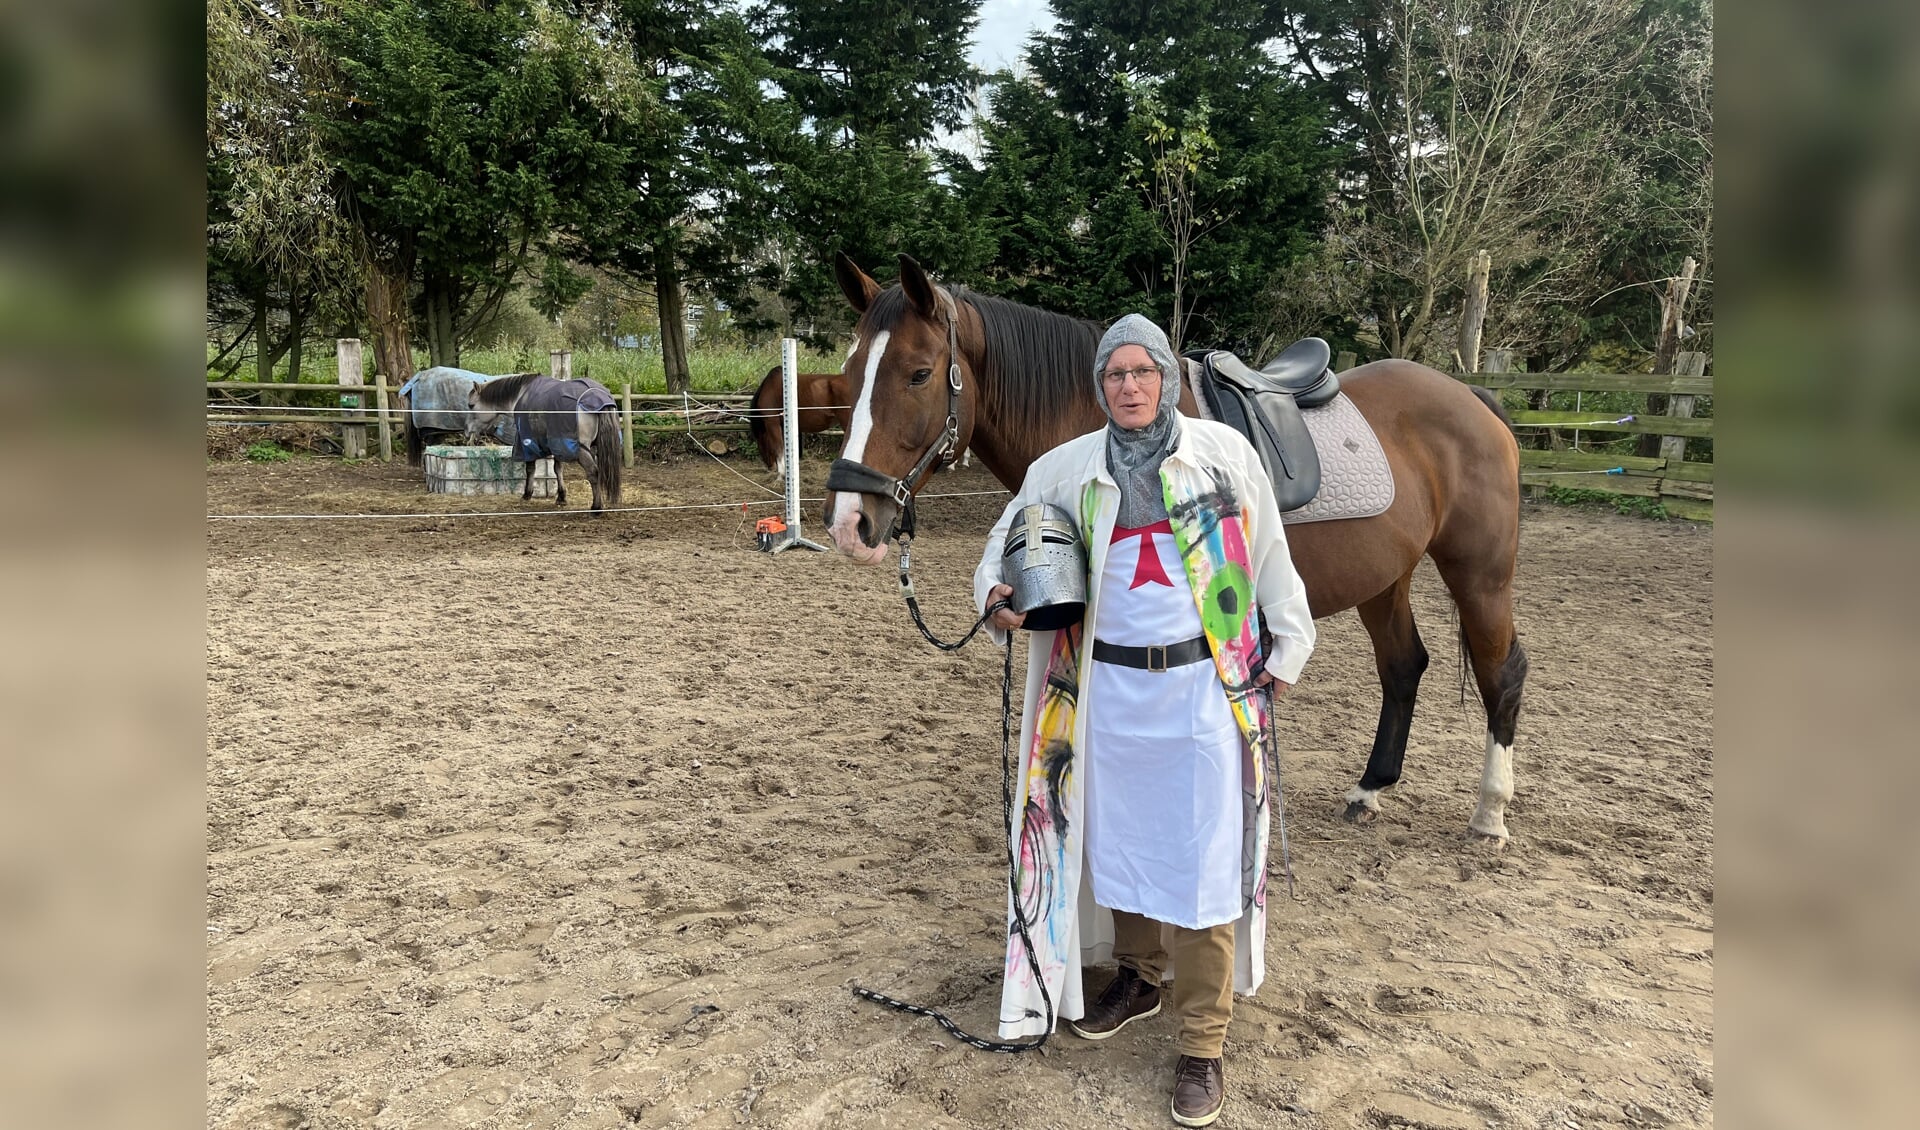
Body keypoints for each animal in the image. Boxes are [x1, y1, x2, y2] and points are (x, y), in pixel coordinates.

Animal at [466, 372, 622, 510]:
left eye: (471, 405)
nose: (467, 432)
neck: (521, 394)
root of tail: (598, 396)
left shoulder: (527, 442)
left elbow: (530, 469)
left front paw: (527, 494)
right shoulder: (557, 441)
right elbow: (558, 469)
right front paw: (561, 497)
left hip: (581, 449)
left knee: (593, 472)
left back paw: (596, 507)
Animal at [825, 253, 1528, 836]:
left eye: (919, 374)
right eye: (851, 374)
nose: (849, 521)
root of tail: (1470, 396)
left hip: (1480, 573)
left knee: (1501, 672)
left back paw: (1491, 812)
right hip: (1386, 578)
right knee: (1403, 666)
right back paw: (1370, 789)